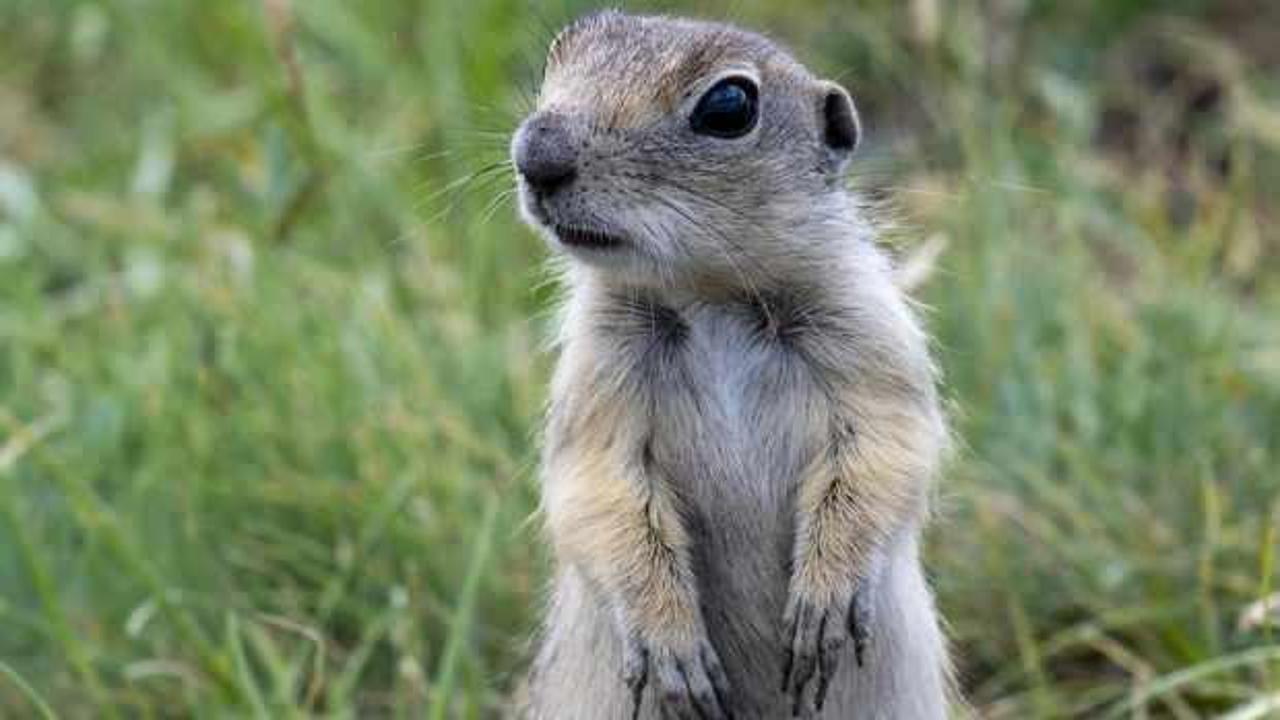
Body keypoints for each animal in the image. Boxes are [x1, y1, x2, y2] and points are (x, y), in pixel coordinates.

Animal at [509, 12, 952, 717]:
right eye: (560, 53)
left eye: (728, 106)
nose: (536, 153)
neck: (710, 297)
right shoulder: (597, 374)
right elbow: (599, 489)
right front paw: (674, 648)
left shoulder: (869, 337)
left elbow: (884, 451)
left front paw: (822, 605)